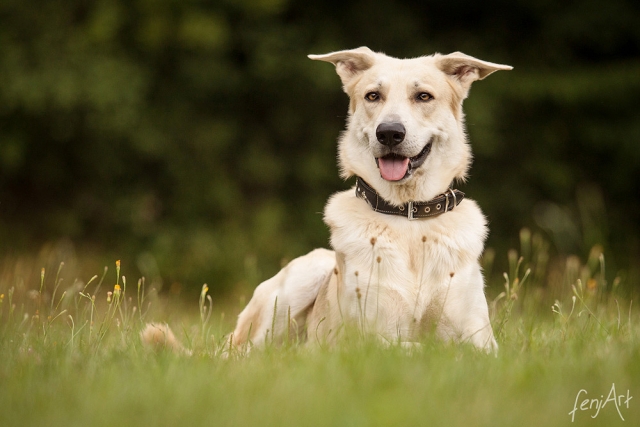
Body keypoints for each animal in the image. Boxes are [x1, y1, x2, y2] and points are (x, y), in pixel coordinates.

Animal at [232, 47, 512, 354]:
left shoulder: (481, 338)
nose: (389, 133)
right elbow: (414, 346)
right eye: (373, 96)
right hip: (297, 283)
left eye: (423, 96)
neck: (408, 215)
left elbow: (461, 348)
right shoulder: (360, 337)